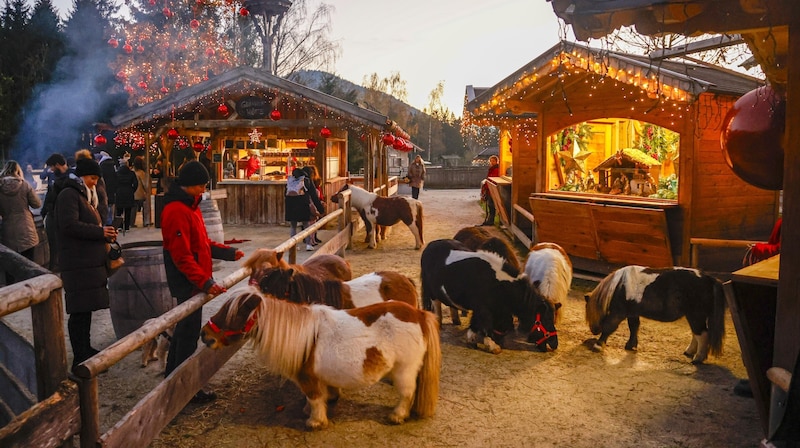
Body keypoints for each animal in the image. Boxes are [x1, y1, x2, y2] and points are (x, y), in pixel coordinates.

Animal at [198, 288, 438, 430]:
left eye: (233, 314)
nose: (204, 334)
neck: (303, 337)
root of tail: (418, 314)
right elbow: (318, 396)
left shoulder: (307, 379)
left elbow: (314, 398)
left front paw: (315, 421)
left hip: (404, 370)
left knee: (407, 393)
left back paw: (397, 416)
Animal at [422, 238, 560, 354]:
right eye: (547, 319)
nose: (554, 344)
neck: (497, 283)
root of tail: (430, 245)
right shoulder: (483, 309)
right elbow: (485, 324)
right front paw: (493, 346)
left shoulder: (481, 308)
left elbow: (475, 323)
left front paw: (472, 340)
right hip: (431, 292)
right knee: (436, 305)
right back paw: (438, 324)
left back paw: (456, 320)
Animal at [584, 266, 728, 364]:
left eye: (590, 312)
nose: (594, 330)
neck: (619, 286)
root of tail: (709, 279)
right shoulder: (632, 313)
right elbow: (634, 327)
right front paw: (631, 345)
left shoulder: (618, 313)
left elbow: (609, 327)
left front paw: (598, 345)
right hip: (694, 316)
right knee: (696, 334)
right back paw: (689, 352)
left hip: (696, 315)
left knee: (702, 334)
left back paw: (697, 358)